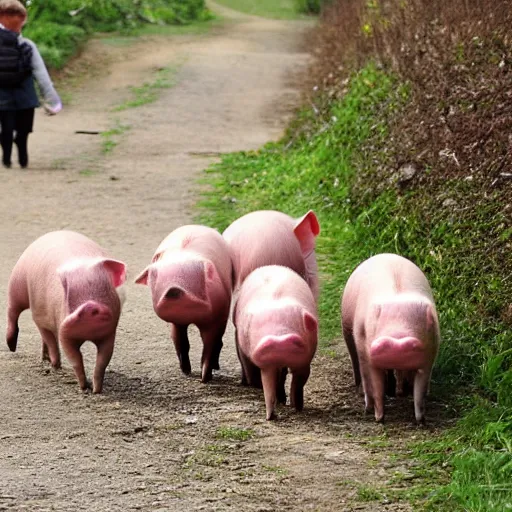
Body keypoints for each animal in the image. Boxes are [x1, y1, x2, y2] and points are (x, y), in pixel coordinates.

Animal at [6, 230, 127, 394]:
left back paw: (45, 359)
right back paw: (14, 348)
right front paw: (83, 387)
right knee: (14, 312)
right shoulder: (62, 331)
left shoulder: (109, 333)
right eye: (70, 295)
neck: (88, 334)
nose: (91, 305)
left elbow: (103, 360)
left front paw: (96, 390)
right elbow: (74, 357)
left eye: (103, 288)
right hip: (17, 282)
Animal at [136, 226, 232, 382]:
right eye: (154, 277)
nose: (173, 289)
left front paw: (205, 379)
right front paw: (186, 372)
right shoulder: (176, 322)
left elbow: (209, 345)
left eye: (198, 277)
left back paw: (216, 367)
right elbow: (180, 342)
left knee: (219, 343)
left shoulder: (217, 317)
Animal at [234, 266, 318, 418]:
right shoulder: (264, 365)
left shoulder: (305, 361)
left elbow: (298, 383)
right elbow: (267, 387)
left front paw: (297, 408)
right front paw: (270, 417)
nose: (279, 340)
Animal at [340, 253, 440, 424]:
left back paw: (399, 392)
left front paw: (420, 420)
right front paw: (378, 418)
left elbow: (419, 392)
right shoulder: (366, 351)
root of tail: (386, 254)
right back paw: (362, 392)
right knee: (356, 362)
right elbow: (376, 386)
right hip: (347, 331)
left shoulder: (429, 357)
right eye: (372, 327)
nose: (397, 342)